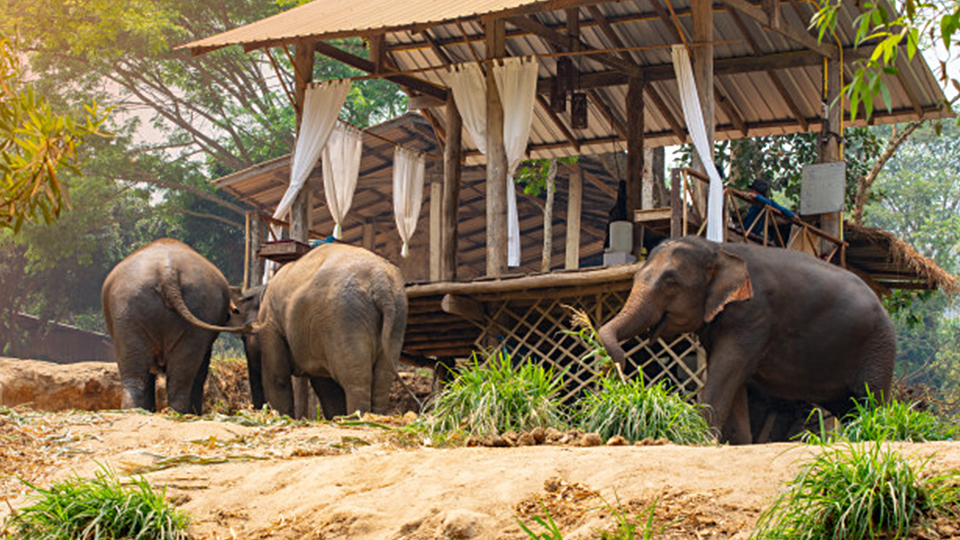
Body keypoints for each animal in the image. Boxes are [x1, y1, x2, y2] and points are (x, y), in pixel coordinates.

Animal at [249, 243, 406, 420]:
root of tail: (381, 283)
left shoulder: (271, 323)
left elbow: (277, 378)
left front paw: (282, 417)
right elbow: (326, 385)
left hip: (344, 318)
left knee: (355, 378)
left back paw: (356, 418)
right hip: (397, 317)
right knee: (382, 378)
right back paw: (374, 417)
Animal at [596, 236, 896, 442]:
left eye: (671, 282)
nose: (620, 367)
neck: (718, 248)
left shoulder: (753, 315)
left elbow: (726, 372)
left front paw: (698, 439)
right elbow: (733, 382)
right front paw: (734, 443)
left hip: (878, 347)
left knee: (870, 399)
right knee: (849, 408)